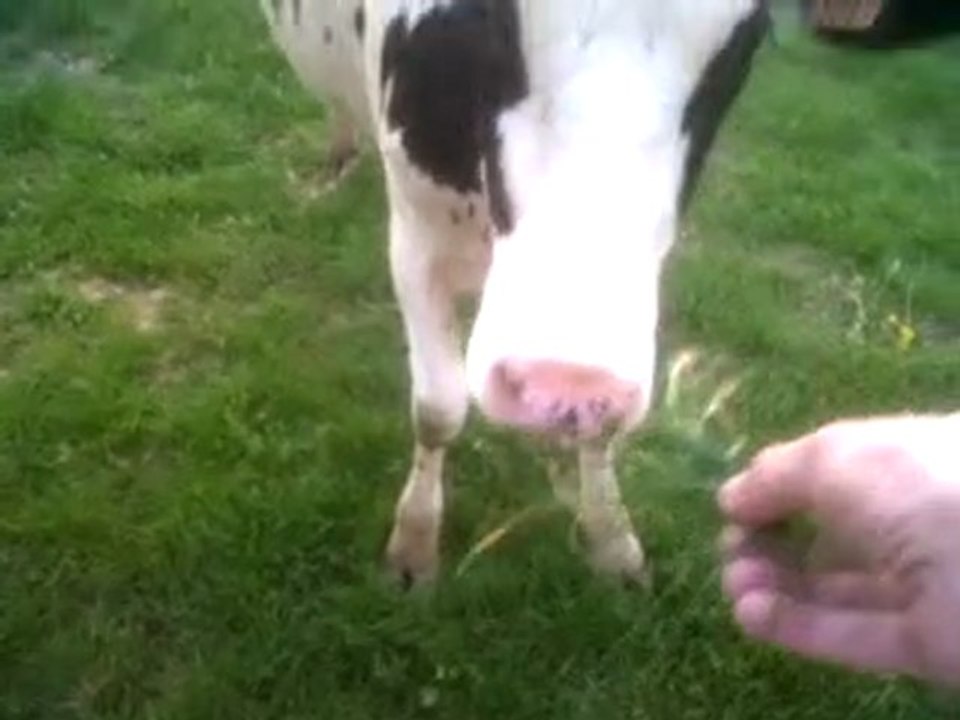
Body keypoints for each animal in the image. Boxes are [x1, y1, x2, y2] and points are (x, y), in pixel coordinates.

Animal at [260, 0, 770, 587]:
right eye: (492, 18)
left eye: (747, 40)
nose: (567, 379)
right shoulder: (413, 242)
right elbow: (438, 408)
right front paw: (414, 543)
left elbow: (602, 431)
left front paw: (612, 541)